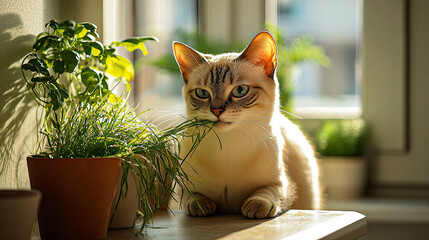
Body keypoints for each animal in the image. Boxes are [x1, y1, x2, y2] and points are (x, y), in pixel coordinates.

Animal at [172, 31, 320, 218]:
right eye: (202, 93)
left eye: (240, 91)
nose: (217, 110)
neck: (227, 147)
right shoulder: (182, 187)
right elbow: (193, 197)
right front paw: (202, 206)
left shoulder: (282, 185)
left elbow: (264, 193)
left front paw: (255, 206)